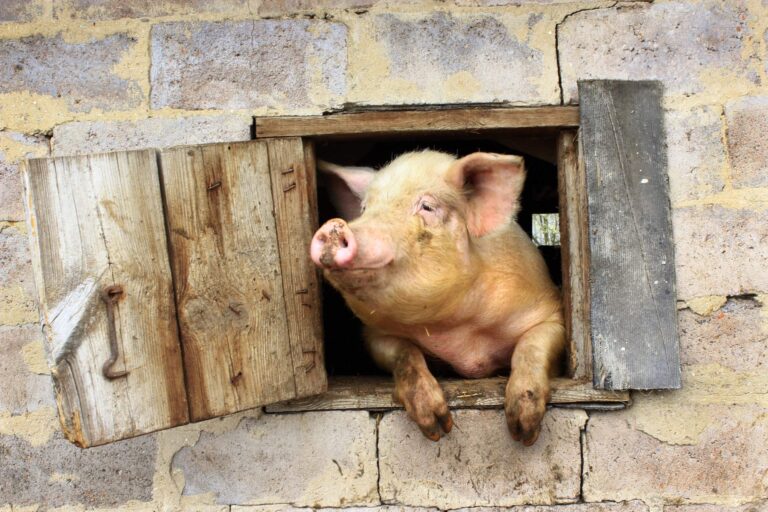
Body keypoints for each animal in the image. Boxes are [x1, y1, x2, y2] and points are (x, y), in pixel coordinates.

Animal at [310, 150, 565, 445]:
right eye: (364, 209)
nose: (334, 227)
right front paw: (438, 428)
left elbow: (531, 346)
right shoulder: (374, 335)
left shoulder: (550, 311)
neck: (458, 336)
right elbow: (404, 354)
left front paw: (523, 431)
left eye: (427, 207)